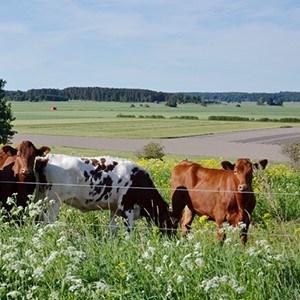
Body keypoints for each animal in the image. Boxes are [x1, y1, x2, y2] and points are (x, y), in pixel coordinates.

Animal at [34, 155, 172, 234]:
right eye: (172, 221)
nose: (173, 237)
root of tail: (46, 158)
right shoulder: (127, 207)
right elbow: (129, 229)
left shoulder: (115, 208)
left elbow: (113, 228)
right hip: (53, 201)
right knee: (48, 221)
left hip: (40, 198)